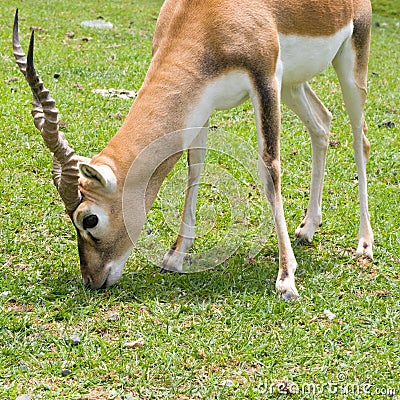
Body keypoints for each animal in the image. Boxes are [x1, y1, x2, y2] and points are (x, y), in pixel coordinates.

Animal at [13, 0, 376, 298]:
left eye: (89, 219)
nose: (92, 279)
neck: (204, 17)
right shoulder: (200, 102)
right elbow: (194, 167)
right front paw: (174, 257)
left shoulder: (265, 78)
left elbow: (270, 167)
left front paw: (286, 279)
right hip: (293, 83)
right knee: (322, 124)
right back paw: (308, 228)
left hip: (349, 61)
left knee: (361, 137)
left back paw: (364, 245)